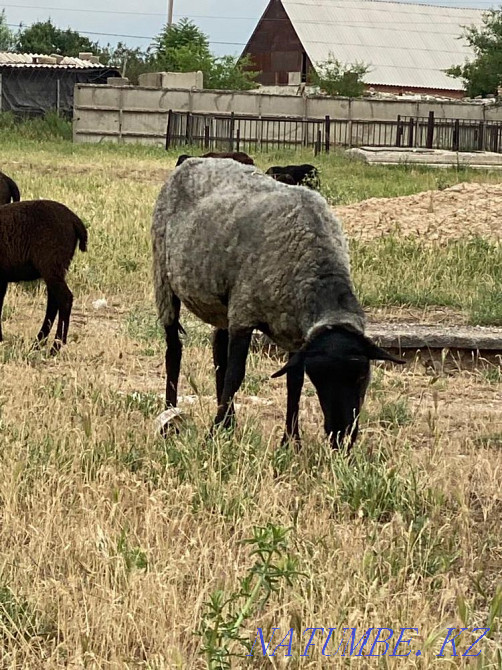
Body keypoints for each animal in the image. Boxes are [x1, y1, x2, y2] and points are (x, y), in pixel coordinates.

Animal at [0, 200, 87, 353]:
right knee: (53, 302)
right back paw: (38, 343)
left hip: (51, 263)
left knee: (64, 299)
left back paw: (55, 347)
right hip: (55, 267)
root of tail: (74, 220)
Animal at [152, 158, 404, 450]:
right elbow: (235, 375)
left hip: (223, 305)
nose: (341, 438)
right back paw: (171, 416)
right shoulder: (244, 313)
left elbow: (293, 381)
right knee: (174, 350)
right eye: (320, 378)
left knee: (217, 351)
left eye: (362, 375)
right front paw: (212, 436)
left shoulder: (295, 335)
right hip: (163, 277)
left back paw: (229, 423)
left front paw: (291, 441)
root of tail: (192, 160)